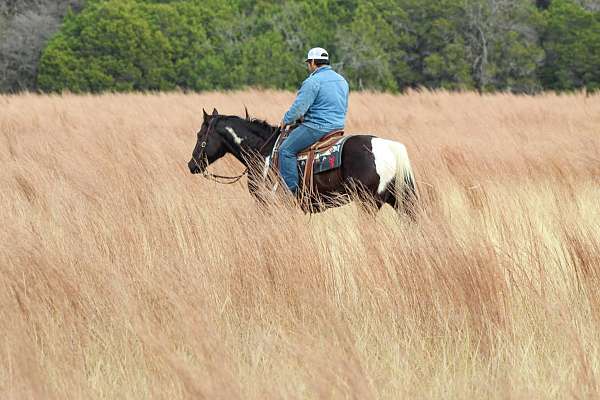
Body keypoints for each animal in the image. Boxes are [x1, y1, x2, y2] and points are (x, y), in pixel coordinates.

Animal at [189, 108, 418, 217]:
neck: (263, 150)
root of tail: (388, 146)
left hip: (368, 203)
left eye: (200, 136)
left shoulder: (268, 204)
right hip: (398, 200)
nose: (191, 165)